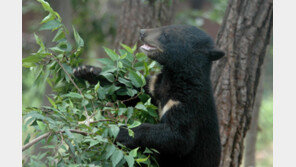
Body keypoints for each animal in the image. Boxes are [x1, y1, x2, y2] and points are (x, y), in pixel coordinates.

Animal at [74, 25, 224, 167]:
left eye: (165, 34)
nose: (142, 32)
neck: (174, 78)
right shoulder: (155, 87)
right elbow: (134, 91)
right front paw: (87, 71)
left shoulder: (188, 103)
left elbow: (179, 137)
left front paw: (122, 132)